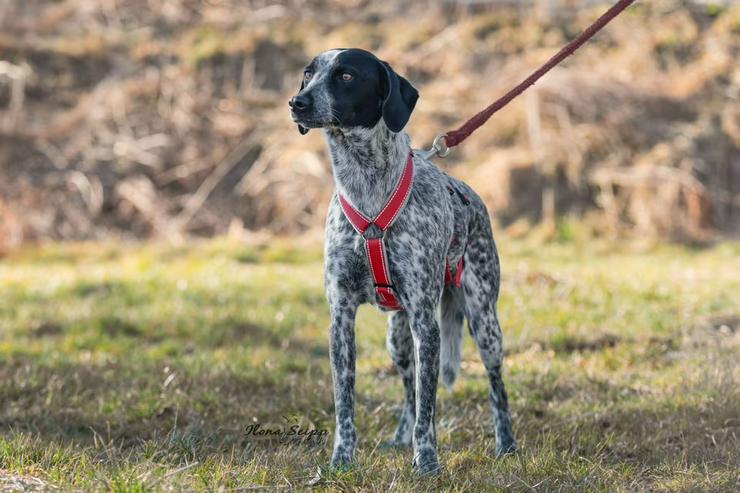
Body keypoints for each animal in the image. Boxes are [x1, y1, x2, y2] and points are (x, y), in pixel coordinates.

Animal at [290, 49, 516, 472]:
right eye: (308, 74)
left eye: (346, 75)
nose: (297, 103)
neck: (366, 186)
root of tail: (473, 196)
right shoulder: (341, 319)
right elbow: (346, 403)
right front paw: (342, 458)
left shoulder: (426, 322)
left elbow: (428, 406)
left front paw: (427, 461)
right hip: (398, 338)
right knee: (409, 389)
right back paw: (399, 436)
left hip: (484, 323)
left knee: (496, 387)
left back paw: (506, 443)